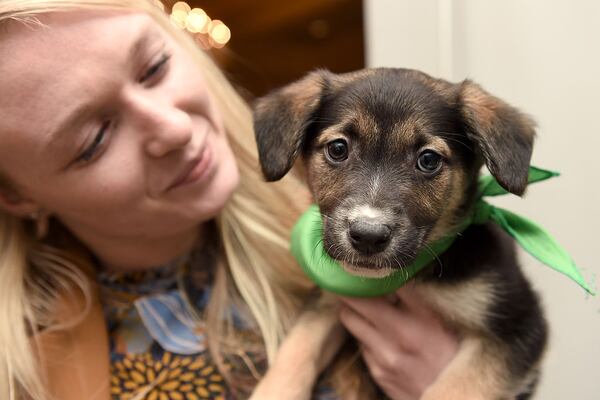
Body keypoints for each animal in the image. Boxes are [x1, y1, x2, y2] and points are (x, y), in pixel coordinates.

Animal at [253, 67, 548, 398]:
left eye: (428, 160)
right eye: (338, 149)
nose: (368, 236)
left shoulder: (517, 324)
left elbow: (455, 388)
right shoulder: (328, 300)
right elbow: (297, 348)